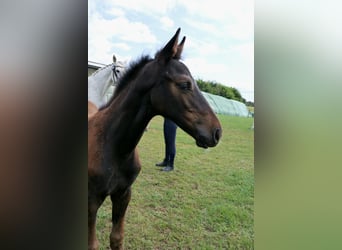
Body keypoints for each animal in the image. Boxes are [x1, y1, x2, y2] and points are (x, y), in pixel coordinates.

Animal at [87, 28, 222, 249]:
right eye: (184, 84)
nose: (217, 132)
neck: (113, 146)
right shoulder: (91, 200)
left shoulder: (124, 193)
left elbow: (116, 238)